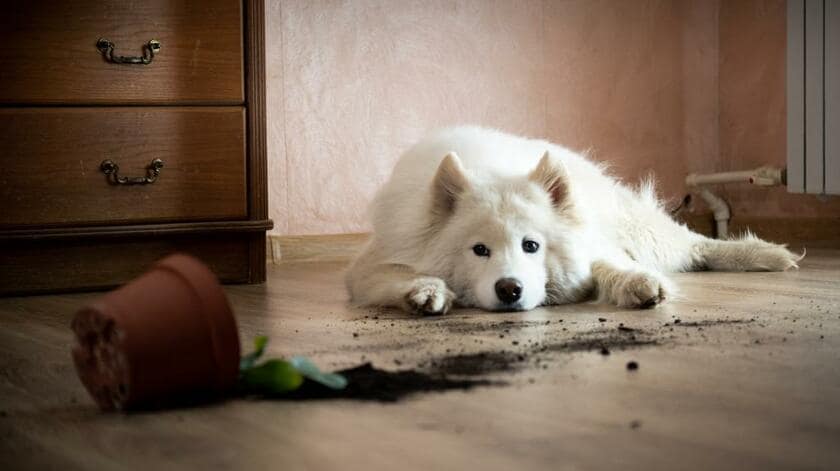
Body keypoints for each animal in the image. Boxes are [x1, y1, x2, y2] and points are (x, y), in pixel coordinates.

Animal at [344, 127, 796, 316]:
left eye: (531, 246)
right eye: (479, 250)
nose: (509, 289)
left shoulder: (592, 245)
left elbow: (610, 265)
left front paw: (639, 284)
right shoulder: (376, 261)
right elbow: (393, 276)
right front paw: (425, 291)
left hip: (639, 230)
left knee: (695, 245)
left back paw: (767, 254)